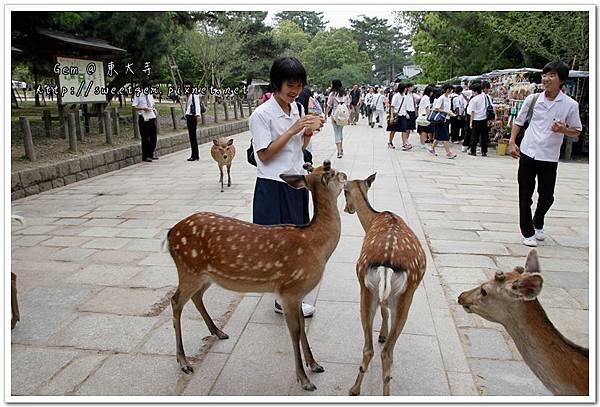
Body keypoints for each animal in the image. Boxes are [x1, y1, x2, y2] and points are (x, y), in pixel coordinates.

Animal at [166, 160, 350, 392]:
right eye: (333, 173)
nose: (346, 175)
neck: (317, 245)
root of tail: (171, 233)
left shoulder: (297, 293)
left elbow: (302, 326)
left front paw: (315, 364)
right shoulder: (289, 290)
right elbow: (295, 331)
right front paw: (304, 379)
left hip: (205, 275)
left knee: (196, 297)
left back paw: (218, 332)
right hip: (188, 269)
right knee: (175, 301)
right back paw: (183, 362)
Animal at [342, 174, 426, 396]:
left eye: (344, 193)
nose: (347, 209)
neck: (374, 219)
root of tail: (387, 264)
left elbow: (383, 308)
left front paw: (381, 334)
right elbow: (385, 309)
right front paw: (382, 335)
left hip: (366, 287)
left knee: (371, 348)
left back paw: (355, 388)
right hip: (405, 294)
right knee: (385, 352)